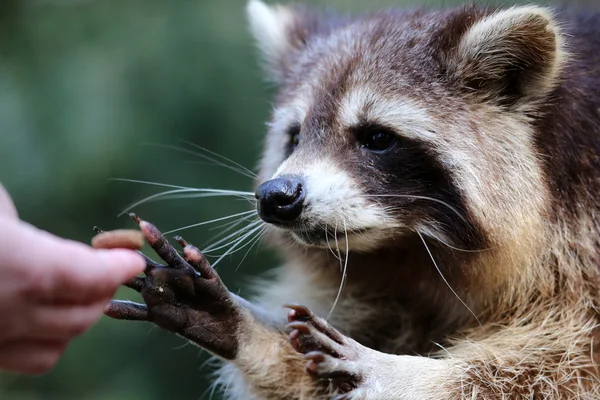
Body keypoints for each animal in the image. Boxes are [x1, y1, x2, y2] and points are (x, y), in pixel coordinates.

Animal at [105, 0, 600, 400]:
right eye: (295, 137)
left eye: (377, 138)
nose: (275, 197)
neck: (412, 247)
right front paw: (252, 332)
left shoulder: (583, 239)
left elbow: (567, 364)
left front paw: (407, 375)